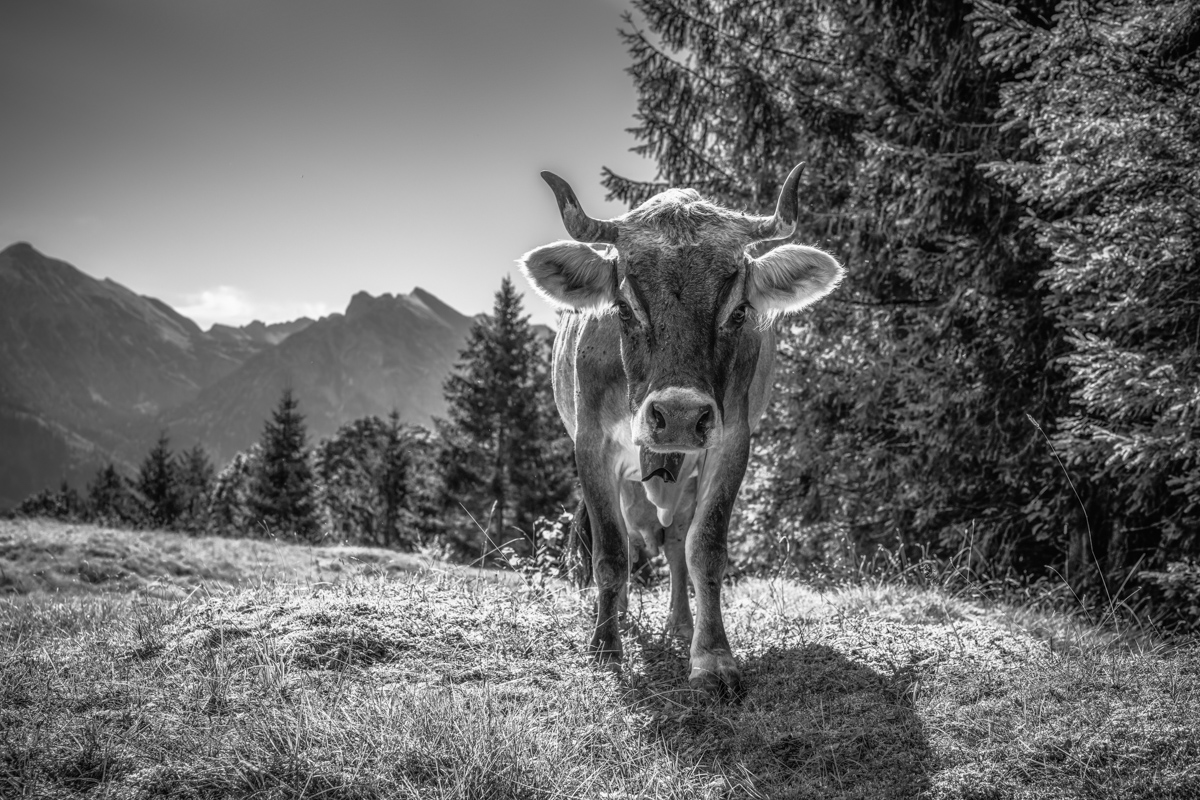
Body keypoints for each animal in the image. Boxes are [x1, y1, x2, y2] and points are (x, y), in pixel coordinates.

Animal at [519, 165, 843, 697]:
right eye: (623, 308)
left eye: (738, 311)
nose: (679, 417)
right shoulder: (590, 443)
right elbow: (610, 551)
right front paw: (605, 647)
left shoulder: (732, 441)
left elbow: (704, 549)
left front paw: (711, 658)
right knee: (628, 541)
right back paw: (621, 614)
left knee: (673, 545)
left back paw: (680, 624)